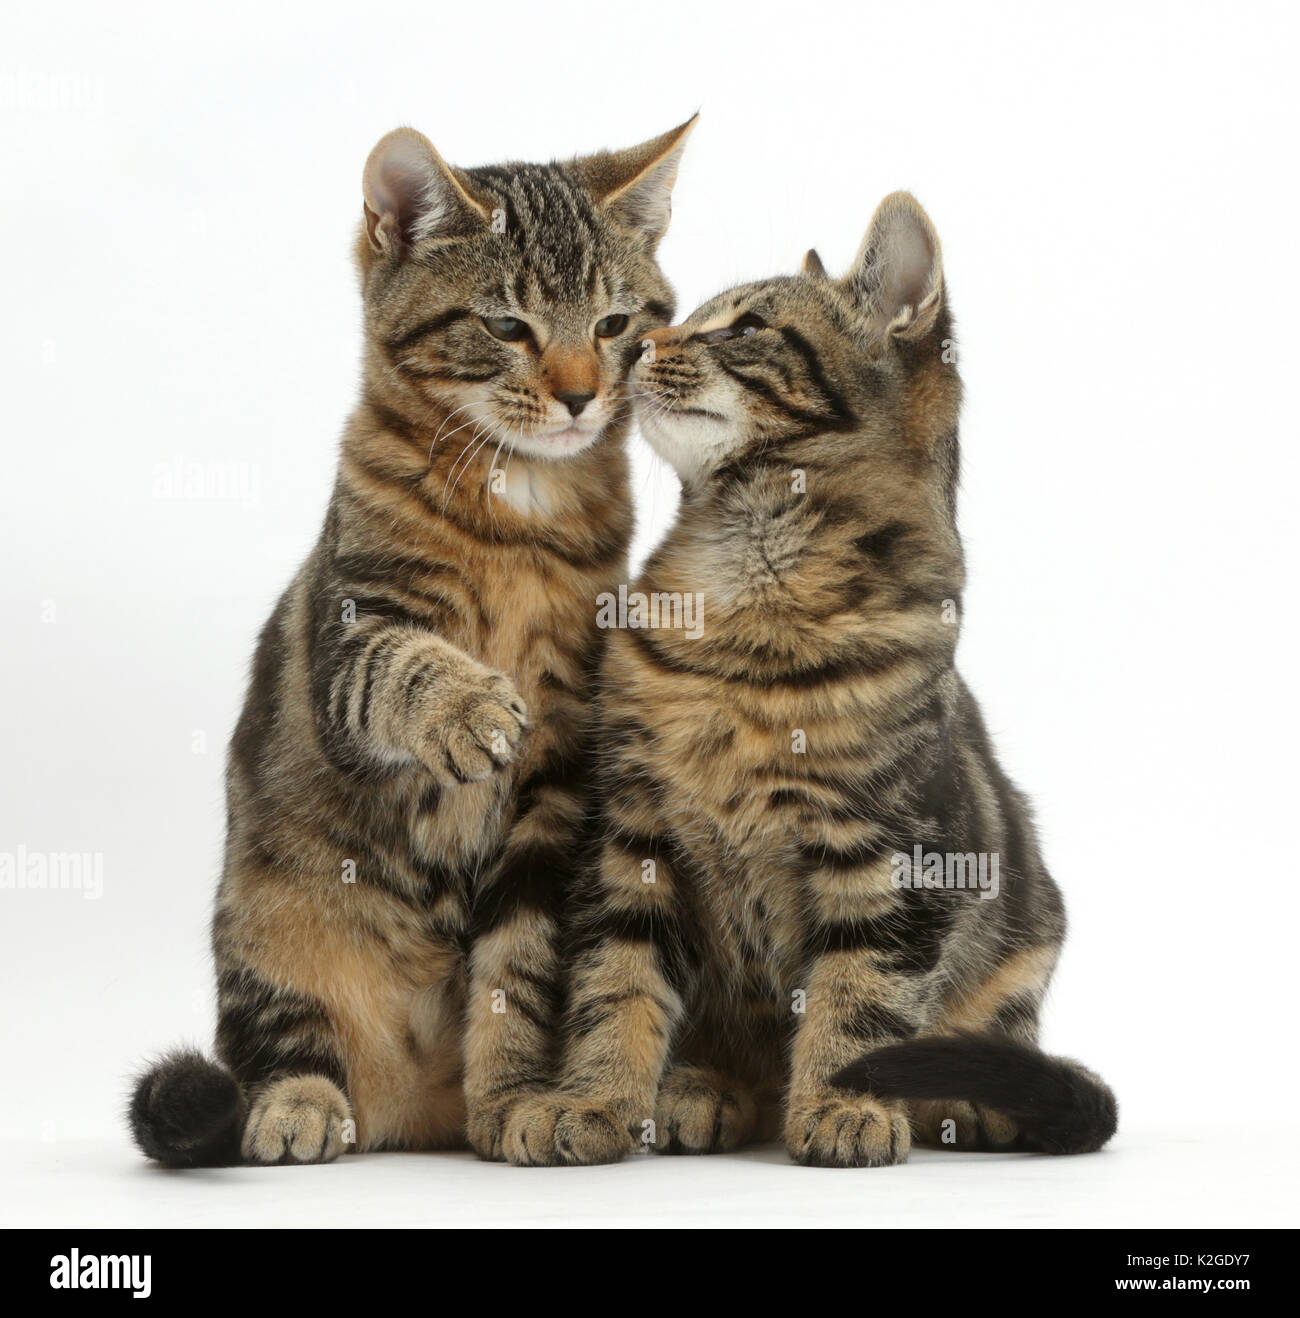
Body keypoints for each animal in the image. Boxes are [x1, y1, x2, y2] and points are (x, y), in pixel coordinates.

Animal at [130, 115, 696, 1165]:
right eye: (507, 327)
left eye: (613, 325)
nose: (579, 395)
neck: (519, 513)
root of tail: (406, 1109)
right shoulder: (354, 629)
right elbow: (400, 666)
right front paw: (466, 704)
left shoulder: (559, 783)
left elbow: (519, 971)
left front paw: (515, 1095)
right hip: (267, 922)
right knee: (280, 1043)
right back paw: (300, 1105)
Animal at [498, 192, 1112, 1165]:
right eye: (682, 317)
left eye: (747, 328)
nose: (638, 343)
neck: (743, 595)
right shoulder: (632, 841)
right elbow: (614, 987)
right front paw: (592, 1099)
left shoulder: (896, 857)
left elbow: (857, 999)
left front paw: (844, 1102)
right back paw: (700, 1087)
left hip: (1029, 922)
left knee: (996, 1028)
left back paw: (970, 1097)